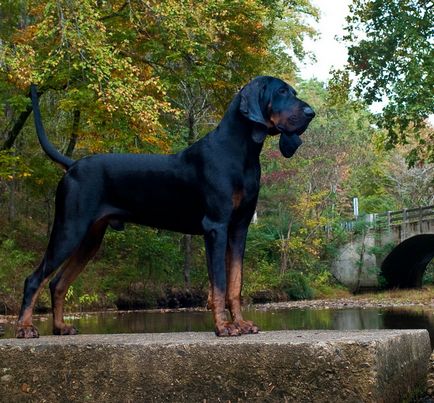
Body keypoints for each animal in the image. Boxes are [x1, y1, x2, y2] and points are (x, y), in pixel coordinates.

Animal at [17, 76, 314, 338]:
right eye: (281, 92)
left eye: (293, 92)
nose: (311, 113)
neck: (242, 152)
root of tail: (72, 165)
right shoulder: (216, 227)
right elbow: (218, 284)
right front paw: (223, 328)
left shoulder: (239, 229)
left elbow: (234, 284)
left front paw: (240, 324)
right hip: (69, 229)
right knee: (34, 279)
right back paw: (25, 328)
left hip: (90, 239)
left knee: (57, 282)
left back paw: (60, 328)